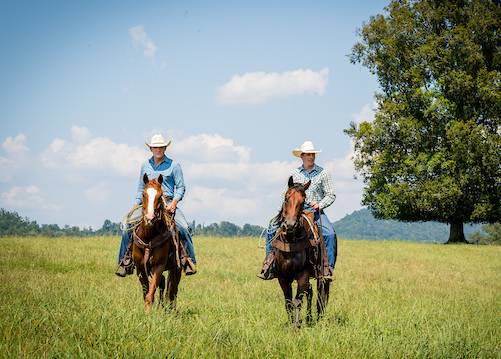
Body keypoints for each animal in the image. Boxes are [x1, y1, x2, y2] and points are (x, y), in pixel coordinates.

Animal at [131, 174, 182, 312]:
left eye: (160, 196)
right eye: (143, 194)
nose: (149, 218)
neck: (148, 237)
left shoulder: (158, 267)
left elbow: (150, 294)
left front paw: (148, 314)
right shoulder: (140, 268)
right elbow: (146, 293)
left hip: (176, 269)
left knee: (172, 291)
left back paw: (170, 310)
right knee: (164, 284)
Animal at [272, 176, 330, 328]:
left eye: (303, 201)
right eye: (286, 197)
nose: (290, 225)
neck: (291, 241)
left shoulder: (303, 275)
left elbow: (298, 301)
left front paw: (296, 326)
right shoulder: (282, 277)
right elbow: (288, 302)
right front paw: (291, 323)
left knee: (319, 296)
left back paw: (314, 318)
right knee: (310, 292)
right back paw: (308, 319)